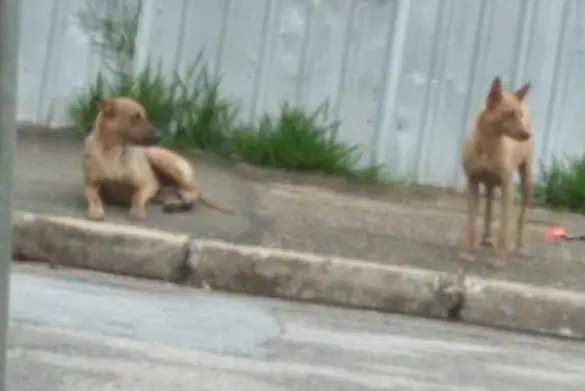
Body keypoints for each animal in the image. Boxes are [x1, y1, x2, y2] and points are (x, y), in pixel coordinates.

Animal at [82, 97, 233, 222]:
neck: (113, 153)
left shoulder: (148, 184)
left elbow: (137, 196)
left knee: (194, 191)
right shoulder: (91, 184)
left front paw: (137, 209)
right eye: (135, 117)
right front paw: (96, 209)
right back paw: (175, 204)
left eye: (144, 116)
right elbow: (94, 197)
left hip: (164, 162)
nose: (160, 136)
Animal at [460, 76, 532, 266]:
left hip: (527, 179)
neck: (488, 143)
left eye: (519, 115)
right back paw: (485, 237)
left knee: (521, 216)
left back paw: (520, 247)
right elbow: (472, 222)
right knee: (489, 207)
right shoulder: (473, 183)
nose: (527, 134)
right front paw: (469, 253)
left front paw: (499, 259)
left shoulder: (508, 187)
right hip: (490, 184)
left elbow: (504, 227)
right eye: (509, 114)